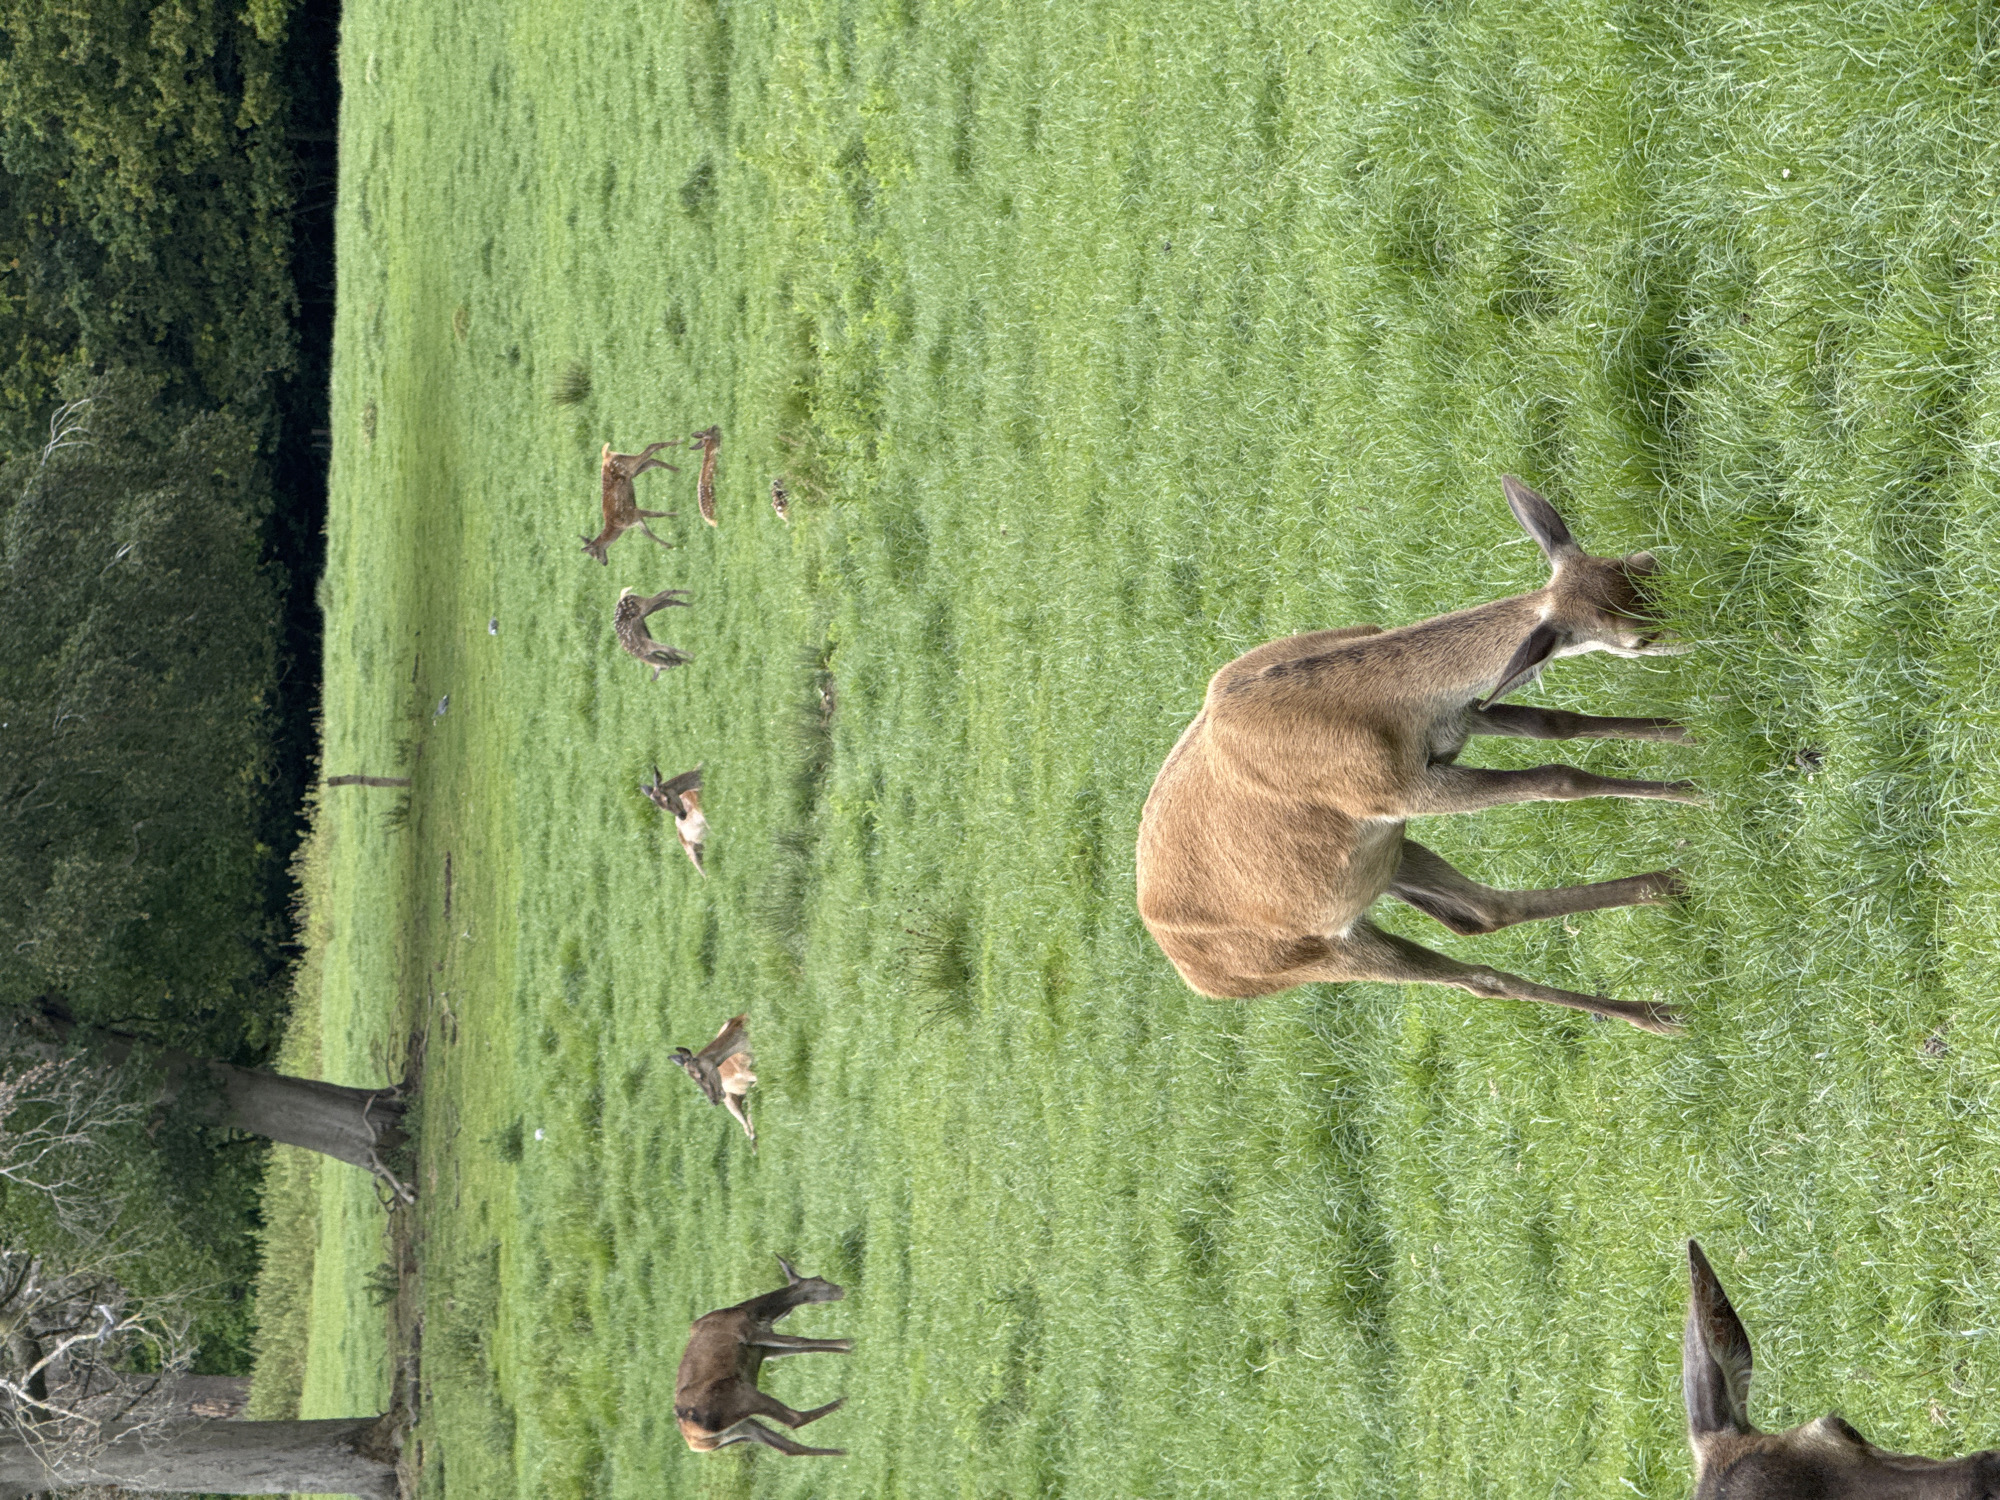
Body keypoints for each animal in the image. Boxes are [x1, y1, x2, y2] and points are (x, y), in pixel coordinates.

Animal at [675, 1256, 852, 1456]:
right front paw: (850, 1343)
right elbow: (800, 1340)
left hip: (739, 1428)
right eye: (818, 1278)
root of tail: (695, 1442)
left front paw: (848, 1349)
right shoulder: (748, 1332)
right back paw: (844, 1402)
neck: (757, 1313)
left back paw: (842, 1451)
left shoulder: (765, 1350)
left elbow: (803, 1347)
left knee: (788, 1447)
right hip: (740, 1394)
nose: (840, 1289)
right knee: (794, 1419)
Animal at [1135, 476, 1697, 1037]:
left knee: (1483, 910)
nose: (1705, 620)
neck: (1385, 710)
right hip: (1319, 954)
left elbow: (1560, 724)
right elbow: (1556, 778)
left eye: (1645, 560)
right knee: (1480, 980)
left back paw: (1668, 884)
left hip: (1387, 859)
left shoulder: (1457, 719)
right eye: (1639, 639)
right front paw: (1696, 792)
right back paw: (1658, 1013)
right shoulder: (1400, 792)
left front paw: (1689, 733)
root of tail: (1195, 974)